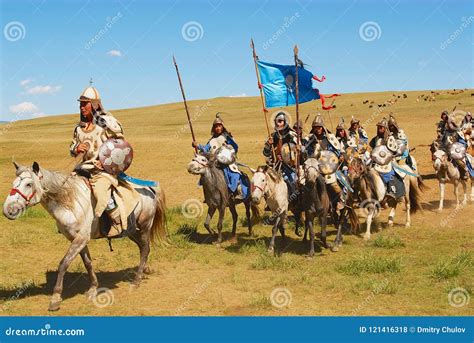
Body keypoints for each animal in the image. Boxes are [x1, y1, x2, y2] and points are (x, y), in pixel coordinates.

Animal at [2, 163, 167, 314]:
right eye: (13, 183)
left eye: (29, 184)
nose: (8, 210)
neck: (70, 203)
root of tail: (150, 189)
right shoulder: (77, 239)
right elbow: (87, 263)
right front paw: (93, 288)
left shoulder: (80, 239)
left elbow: (64, 264)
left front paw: (55, 298)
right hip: (132, 232)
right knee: (143, 249)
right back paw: (144, 270)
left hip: (144, 228)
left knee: (144, 250)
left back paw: (136, 281)